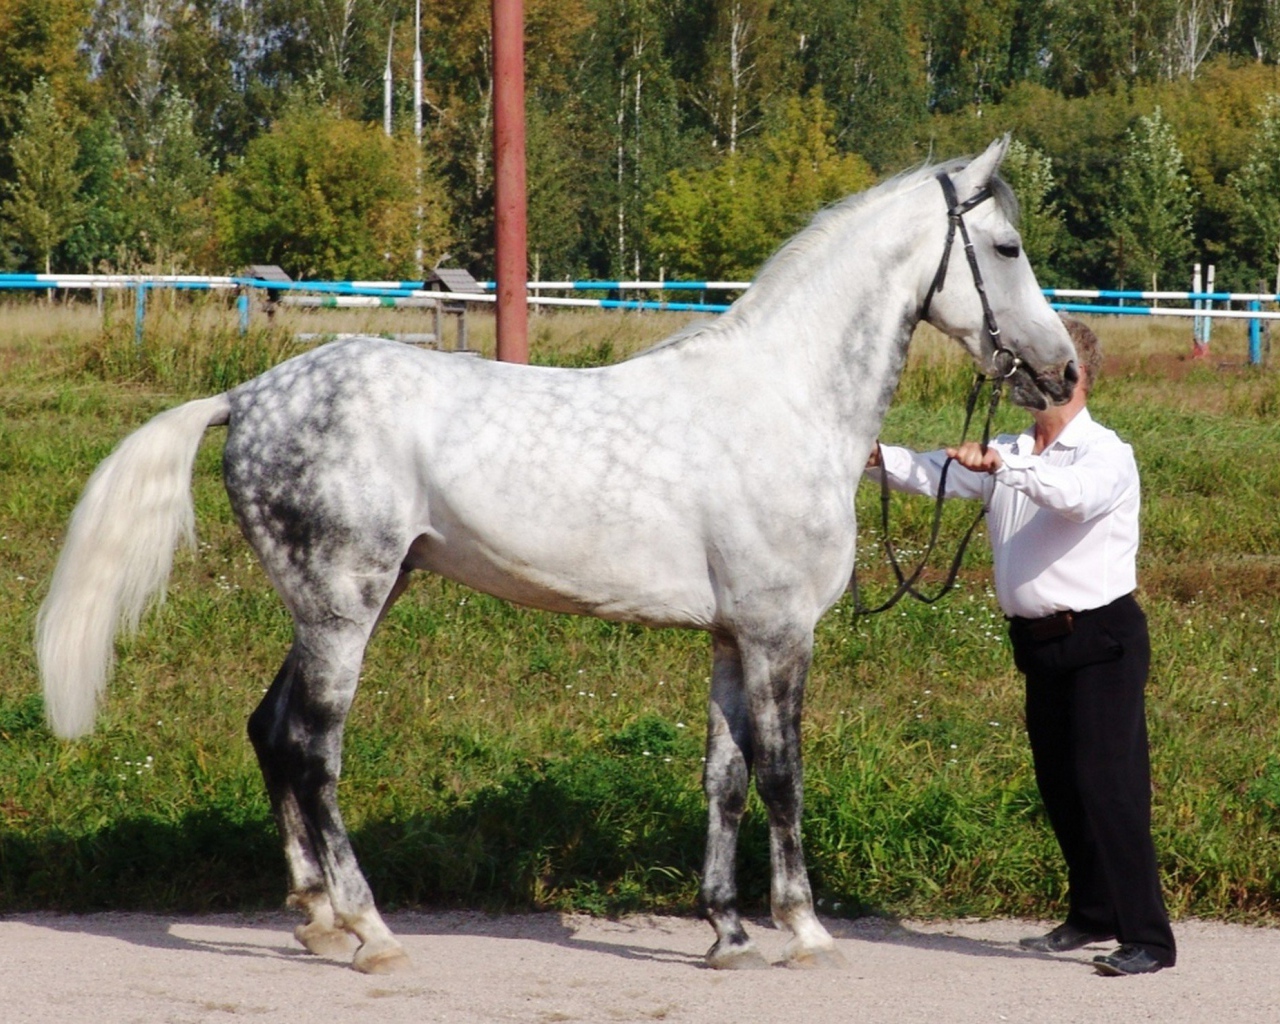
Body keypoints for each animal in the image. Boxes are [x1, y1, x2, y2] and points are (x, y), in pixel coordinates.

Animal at [36, 136, 1076, 973]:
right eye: (1009, 248)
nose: (1065, 371)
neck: (784, 402)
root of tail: (246, 396)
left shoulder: (733, 636)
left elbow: (726, 778)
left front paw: (727, 934)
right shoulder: (782, 634)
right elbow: (783, 775)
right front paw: (806, 931)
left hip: (337, 603)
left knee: (269, 730)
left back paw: (316, 917)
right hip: (342, 607)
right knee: (312, 748)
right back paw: (369, 931)